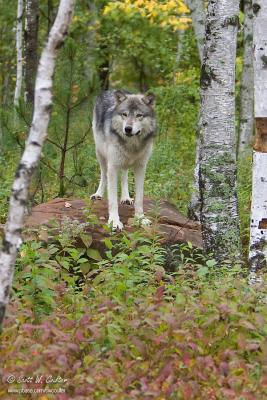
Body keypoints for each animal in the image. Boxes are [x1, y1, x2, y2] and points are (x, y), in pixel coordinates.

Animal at [91, 89, 157, 230]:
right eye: (124, 114)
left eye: (139, 115)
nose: (127, 129)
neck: (131, 145)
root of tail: (109, 90)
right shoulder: (112, 167)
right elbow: (112, 200)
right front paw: (114, 222)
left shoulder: (141, 167)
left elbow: (139, 198)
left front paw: (140, 218)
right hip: (100, 154)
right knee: (103, 175)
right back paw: (98, 194)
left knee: (125, 175)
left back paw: (126, 197)